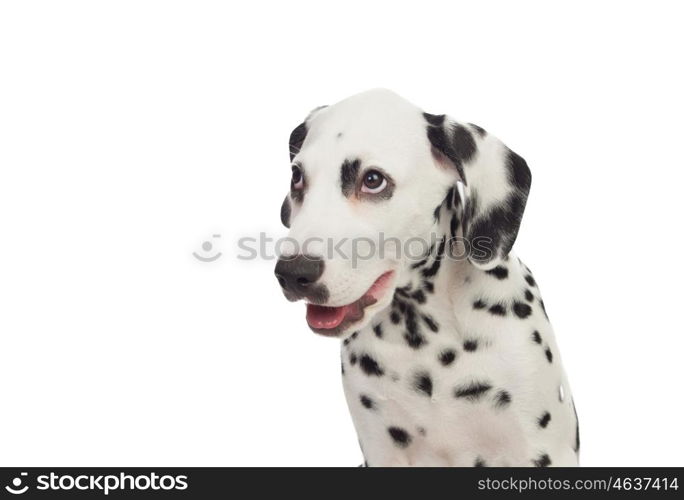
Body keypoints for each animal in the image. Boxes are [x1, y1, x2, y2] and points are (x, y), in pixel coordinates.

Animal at [276, 88, 580, 466]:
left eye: (373, 180)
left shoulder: (542, 449)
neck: (427, 338)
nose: (292, 273)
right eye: (297, 176)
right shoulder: (380, 451)